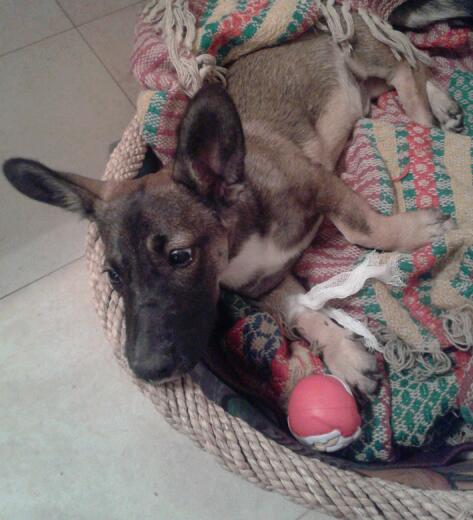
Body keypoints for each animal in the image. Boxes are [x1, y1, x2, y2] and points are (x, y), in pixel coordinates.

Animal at [3, 1, 473, 393]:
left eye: (179, 257)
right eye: (113, 276)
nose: (146, 372)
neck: (241, 240)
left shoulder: (319, 180)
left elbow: (363, 228)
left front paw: (416, 231)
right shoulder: (267, 286)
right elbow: (302, 311)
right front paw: (343, 354)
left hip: (360, 51)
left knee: (406, 68)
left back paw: (424, 118)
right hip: (363, 87)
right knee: (405, 71)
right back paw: (442, 106)